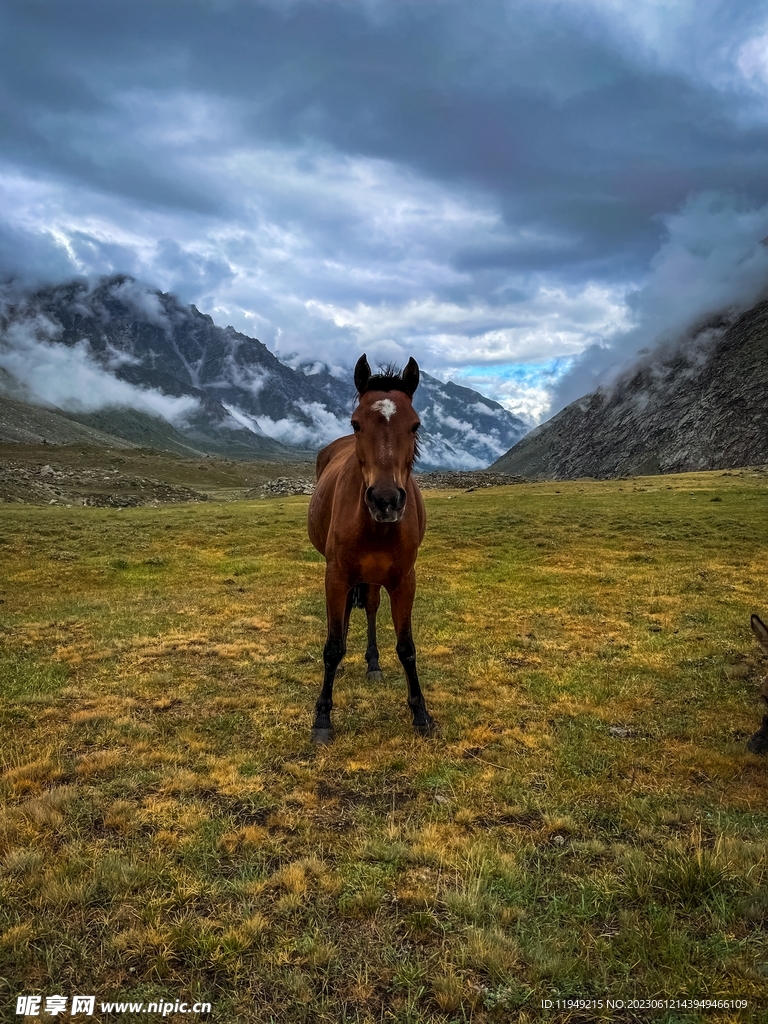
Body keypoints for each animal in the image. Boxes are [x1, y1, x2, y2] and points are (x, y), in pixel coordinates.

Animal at [306, 354, 436, 744]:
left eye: (415, 425)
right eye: (356, 424)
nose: (385, 500)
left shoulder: (403, 580)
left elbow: (407, 648)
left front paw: (421, 713)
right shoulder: (336, 575)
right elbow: (332, 646)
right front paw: (322, 718)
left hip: (377, 577)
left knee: (372, 608)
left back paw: (373, 662)